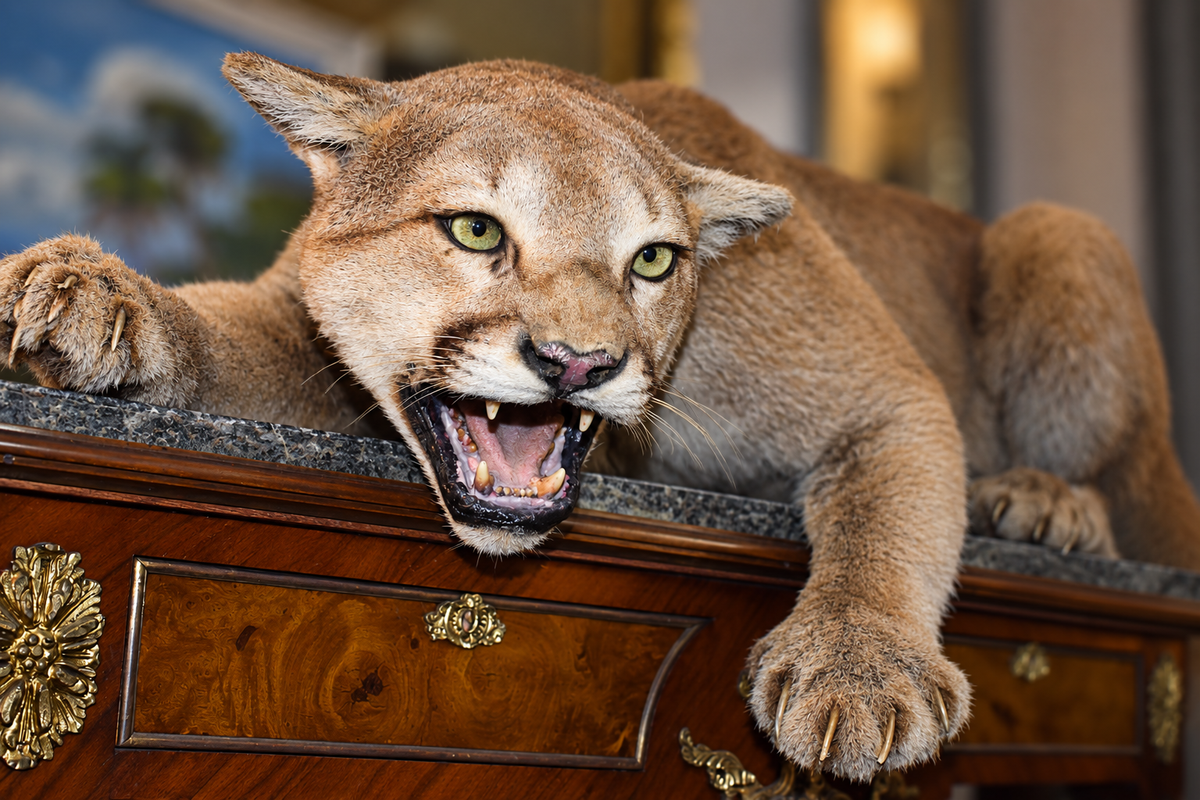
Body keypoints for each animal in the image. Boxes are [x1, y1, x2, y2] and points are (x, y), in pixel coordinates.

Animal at [3, 54, 1199, 782]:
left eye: (655, 260)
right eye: (476, 229)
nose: (579, 361)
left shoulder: (889, 394)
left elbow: (884, 524)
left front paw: (859, 671)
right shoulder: (305, 333)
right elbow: (220, 333)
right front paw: (101, 297)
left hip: (1058, 232)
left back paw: (1045, 501)